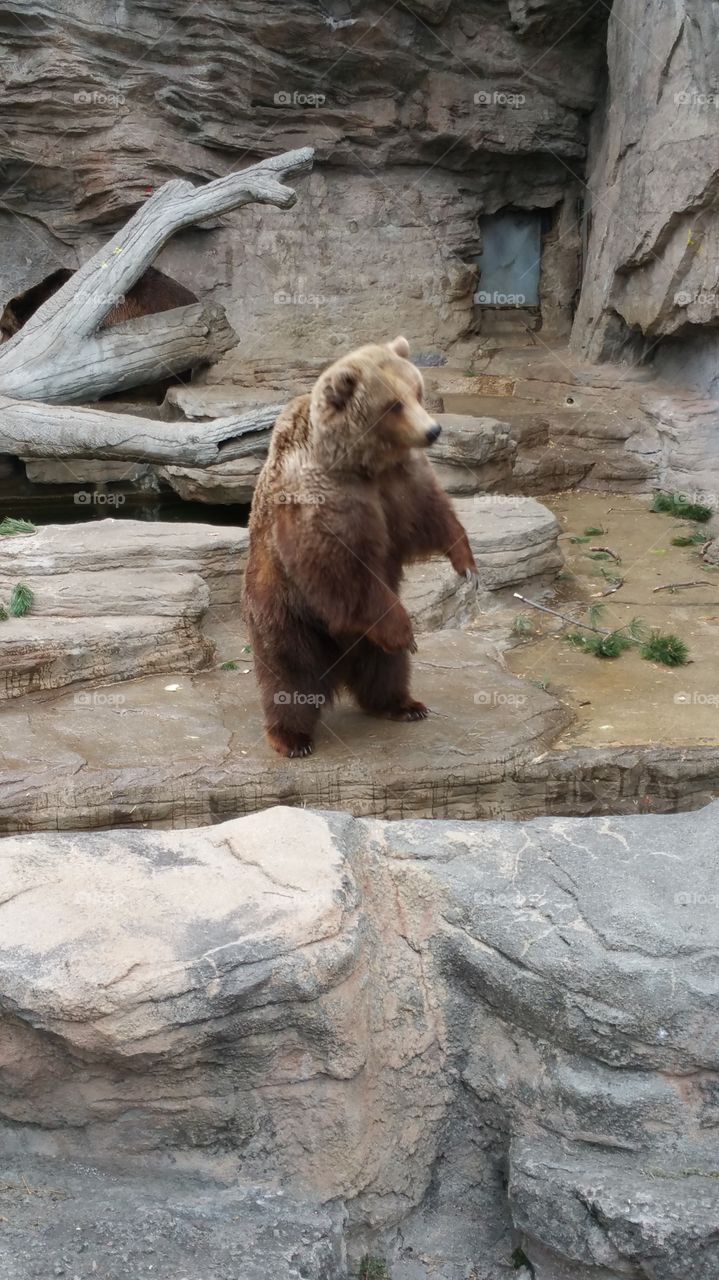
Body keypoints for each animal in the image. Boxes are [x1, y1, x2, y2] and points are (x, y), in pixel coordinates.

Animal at [243, 336, 479, 759]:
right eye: (394, 404)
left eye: (417, 391)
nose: (433, 431)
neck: (358, 462)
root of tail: (339, 665)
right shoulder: (323, 500)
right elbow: (343, 569)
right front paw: (407, 631)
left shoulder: (399, 482)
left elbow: (430, 515)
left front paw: (466, 563)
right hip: (281, 606)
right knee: (289, 672)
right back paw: (291, 737)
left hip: (359, 643)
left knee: (384, 667)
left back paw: (402, 704)